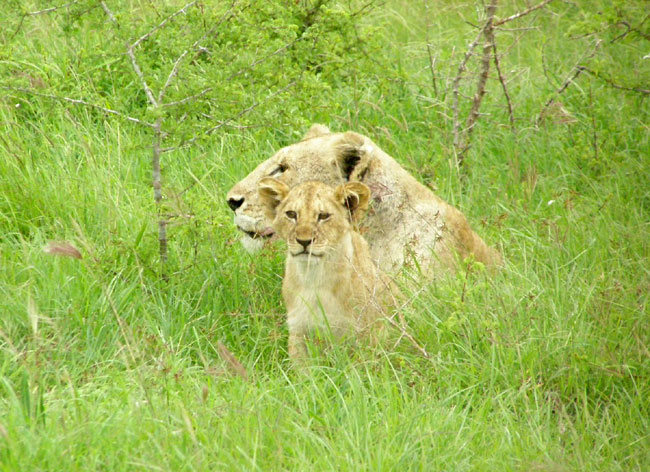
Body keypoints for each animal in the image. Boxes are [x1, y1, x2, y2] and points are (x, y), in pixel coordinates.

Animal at [258, 178, 393, 361]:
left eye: (323, 216)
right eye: (291, 214)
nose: (304, 241)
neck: (313, 277)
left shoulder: (368, 333)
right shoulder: (298, 331)